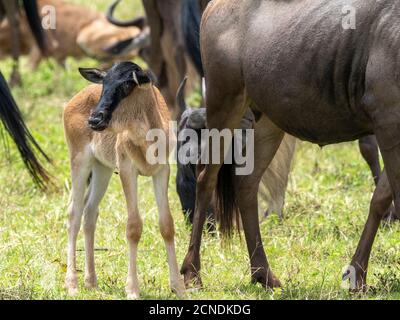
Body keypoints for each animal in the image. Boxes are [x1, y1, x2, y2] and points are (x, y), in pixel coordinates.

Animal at [63, 61, 185, 298]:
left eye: (128, 84)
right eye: (104, 83)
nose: (95, 119)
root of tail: (71, 102)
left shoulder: (161, 171)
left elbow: (167, 224)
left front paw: (178, 287)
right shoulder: (128, 171)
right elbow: (134, 227)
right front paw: (132, 289)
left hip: (102, 169)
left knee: (90, 212)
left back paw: (91, 281)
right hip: (80, 162)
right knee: (74, 212)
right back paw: (72, 283)